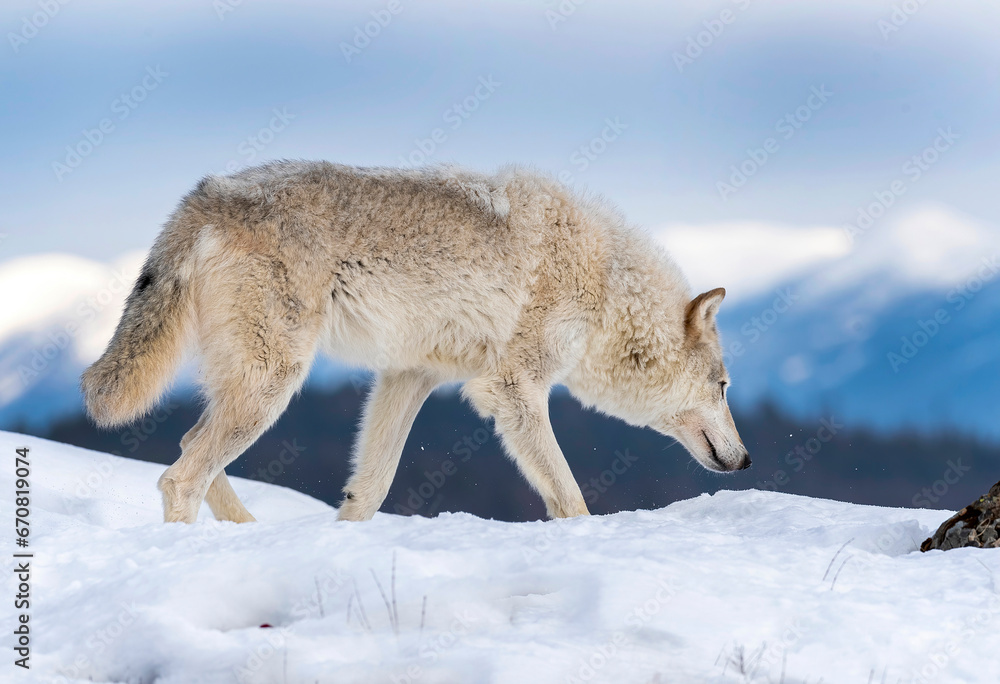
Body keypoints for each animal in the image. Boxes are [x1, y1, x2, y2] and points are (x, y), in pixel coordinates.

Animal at [81, 161, 749, 524]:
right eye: (723, 387)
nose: (746, 460)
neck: (605, 287)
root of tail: (205, 195)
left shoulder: (410, 375)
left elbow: (371, 487)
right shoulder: (513, 390)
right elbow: (569, 496)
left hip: (249, 384)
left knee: (189, 447)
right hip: (271, 385)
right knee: (181, 476)